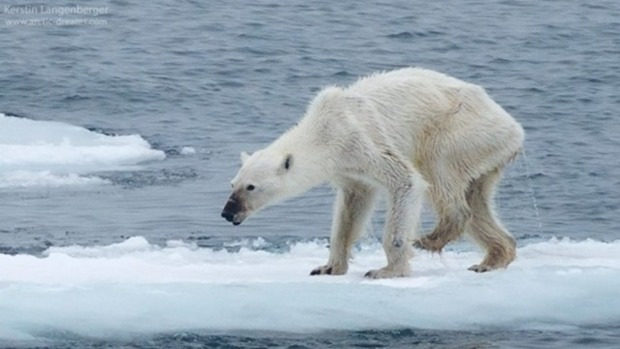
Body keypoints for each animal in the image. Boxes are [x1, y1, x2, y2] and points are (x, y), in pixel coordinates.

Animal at [222, 68, 524, 278]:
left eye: (251, 187)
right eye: (232, 183)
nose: (227, 212)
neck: (323, 130)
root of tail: (514, 128)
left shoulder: (360, 140)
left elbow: (406, 181)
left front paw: (386, 270)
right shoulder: (347, 168)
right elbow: (351, 208)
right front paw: (328, 267)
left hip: (461, 131)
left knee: (439, 171)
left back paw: (430, 238)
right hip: (485, 153)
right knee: (477, 200)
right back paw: (492, 259)